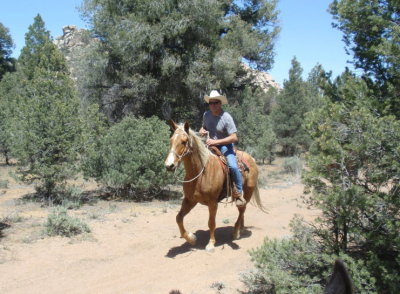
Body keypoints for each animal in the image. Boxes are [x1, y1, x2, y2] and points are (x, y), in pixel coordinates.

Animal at [164, 120, 264, 252]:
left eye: (184, 141)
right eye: (171, 140)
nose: (169, 165)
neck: (200, 173)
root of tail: (251, 158)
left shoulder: (212, 203)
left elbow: (211, 222)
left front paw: (211, 244)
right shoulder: (189, 200)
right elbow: (178, 218)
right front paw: (191, 238)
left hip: (248, 191)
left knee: (242, 208)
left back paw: (236, 232)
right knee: (241, 210)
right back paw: (241, 229)